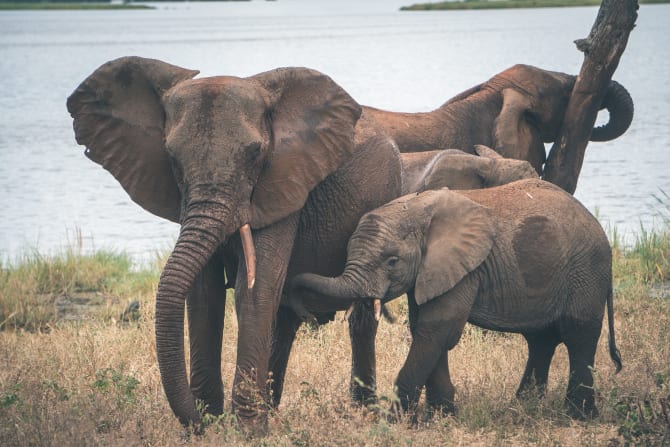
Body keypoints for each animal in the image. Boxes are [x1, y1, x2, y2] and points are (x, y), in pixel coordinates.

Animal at [67, 56, 404, 434]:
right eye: (171, 156)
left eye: (255, 153)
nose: (197, 422)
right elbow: (204, 294)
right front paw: (213, 423)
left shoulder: (284, 184)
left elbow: (253, 289)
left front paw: (246, 430)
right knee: (285, 318)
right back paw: (273, 410)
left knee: (360, 315)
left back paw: (363, 411)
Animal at [294, 178, 624, 420]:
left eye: (392, 261)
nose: (294, 291)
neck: (417, 208)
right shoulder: (432, 269)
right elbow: (425, 328)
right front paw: (442, 415)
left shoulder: (465, 269)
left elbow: (438, 328)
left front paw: (394, 420)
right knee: (541, 339)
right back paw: (523, 406)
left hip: (586, 272)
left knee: (578, 334)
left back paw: (579, 416)